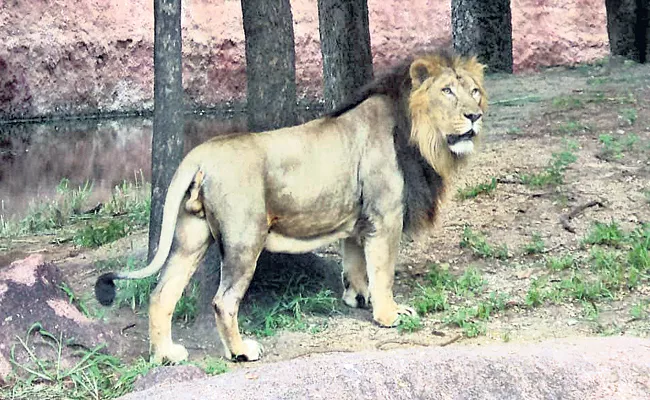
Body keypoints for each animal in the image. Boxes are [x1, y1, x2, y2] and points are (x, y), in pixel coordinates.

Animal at [92, 48, 486, 364]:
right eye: (447, 91)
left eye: (475, 91)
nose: (475, 116)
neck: (420, 137)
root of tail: (199, 153)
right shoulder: (386, 212)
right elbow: (383, 269)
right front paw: (388, 314)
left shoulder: (359, 216)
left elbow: (355, 260)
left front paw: (357, 298)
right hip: (245, 238)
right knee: (224, 300)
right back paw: (240, 351)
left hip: (191, 235)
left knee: (161, 294)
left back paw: (166, 355)